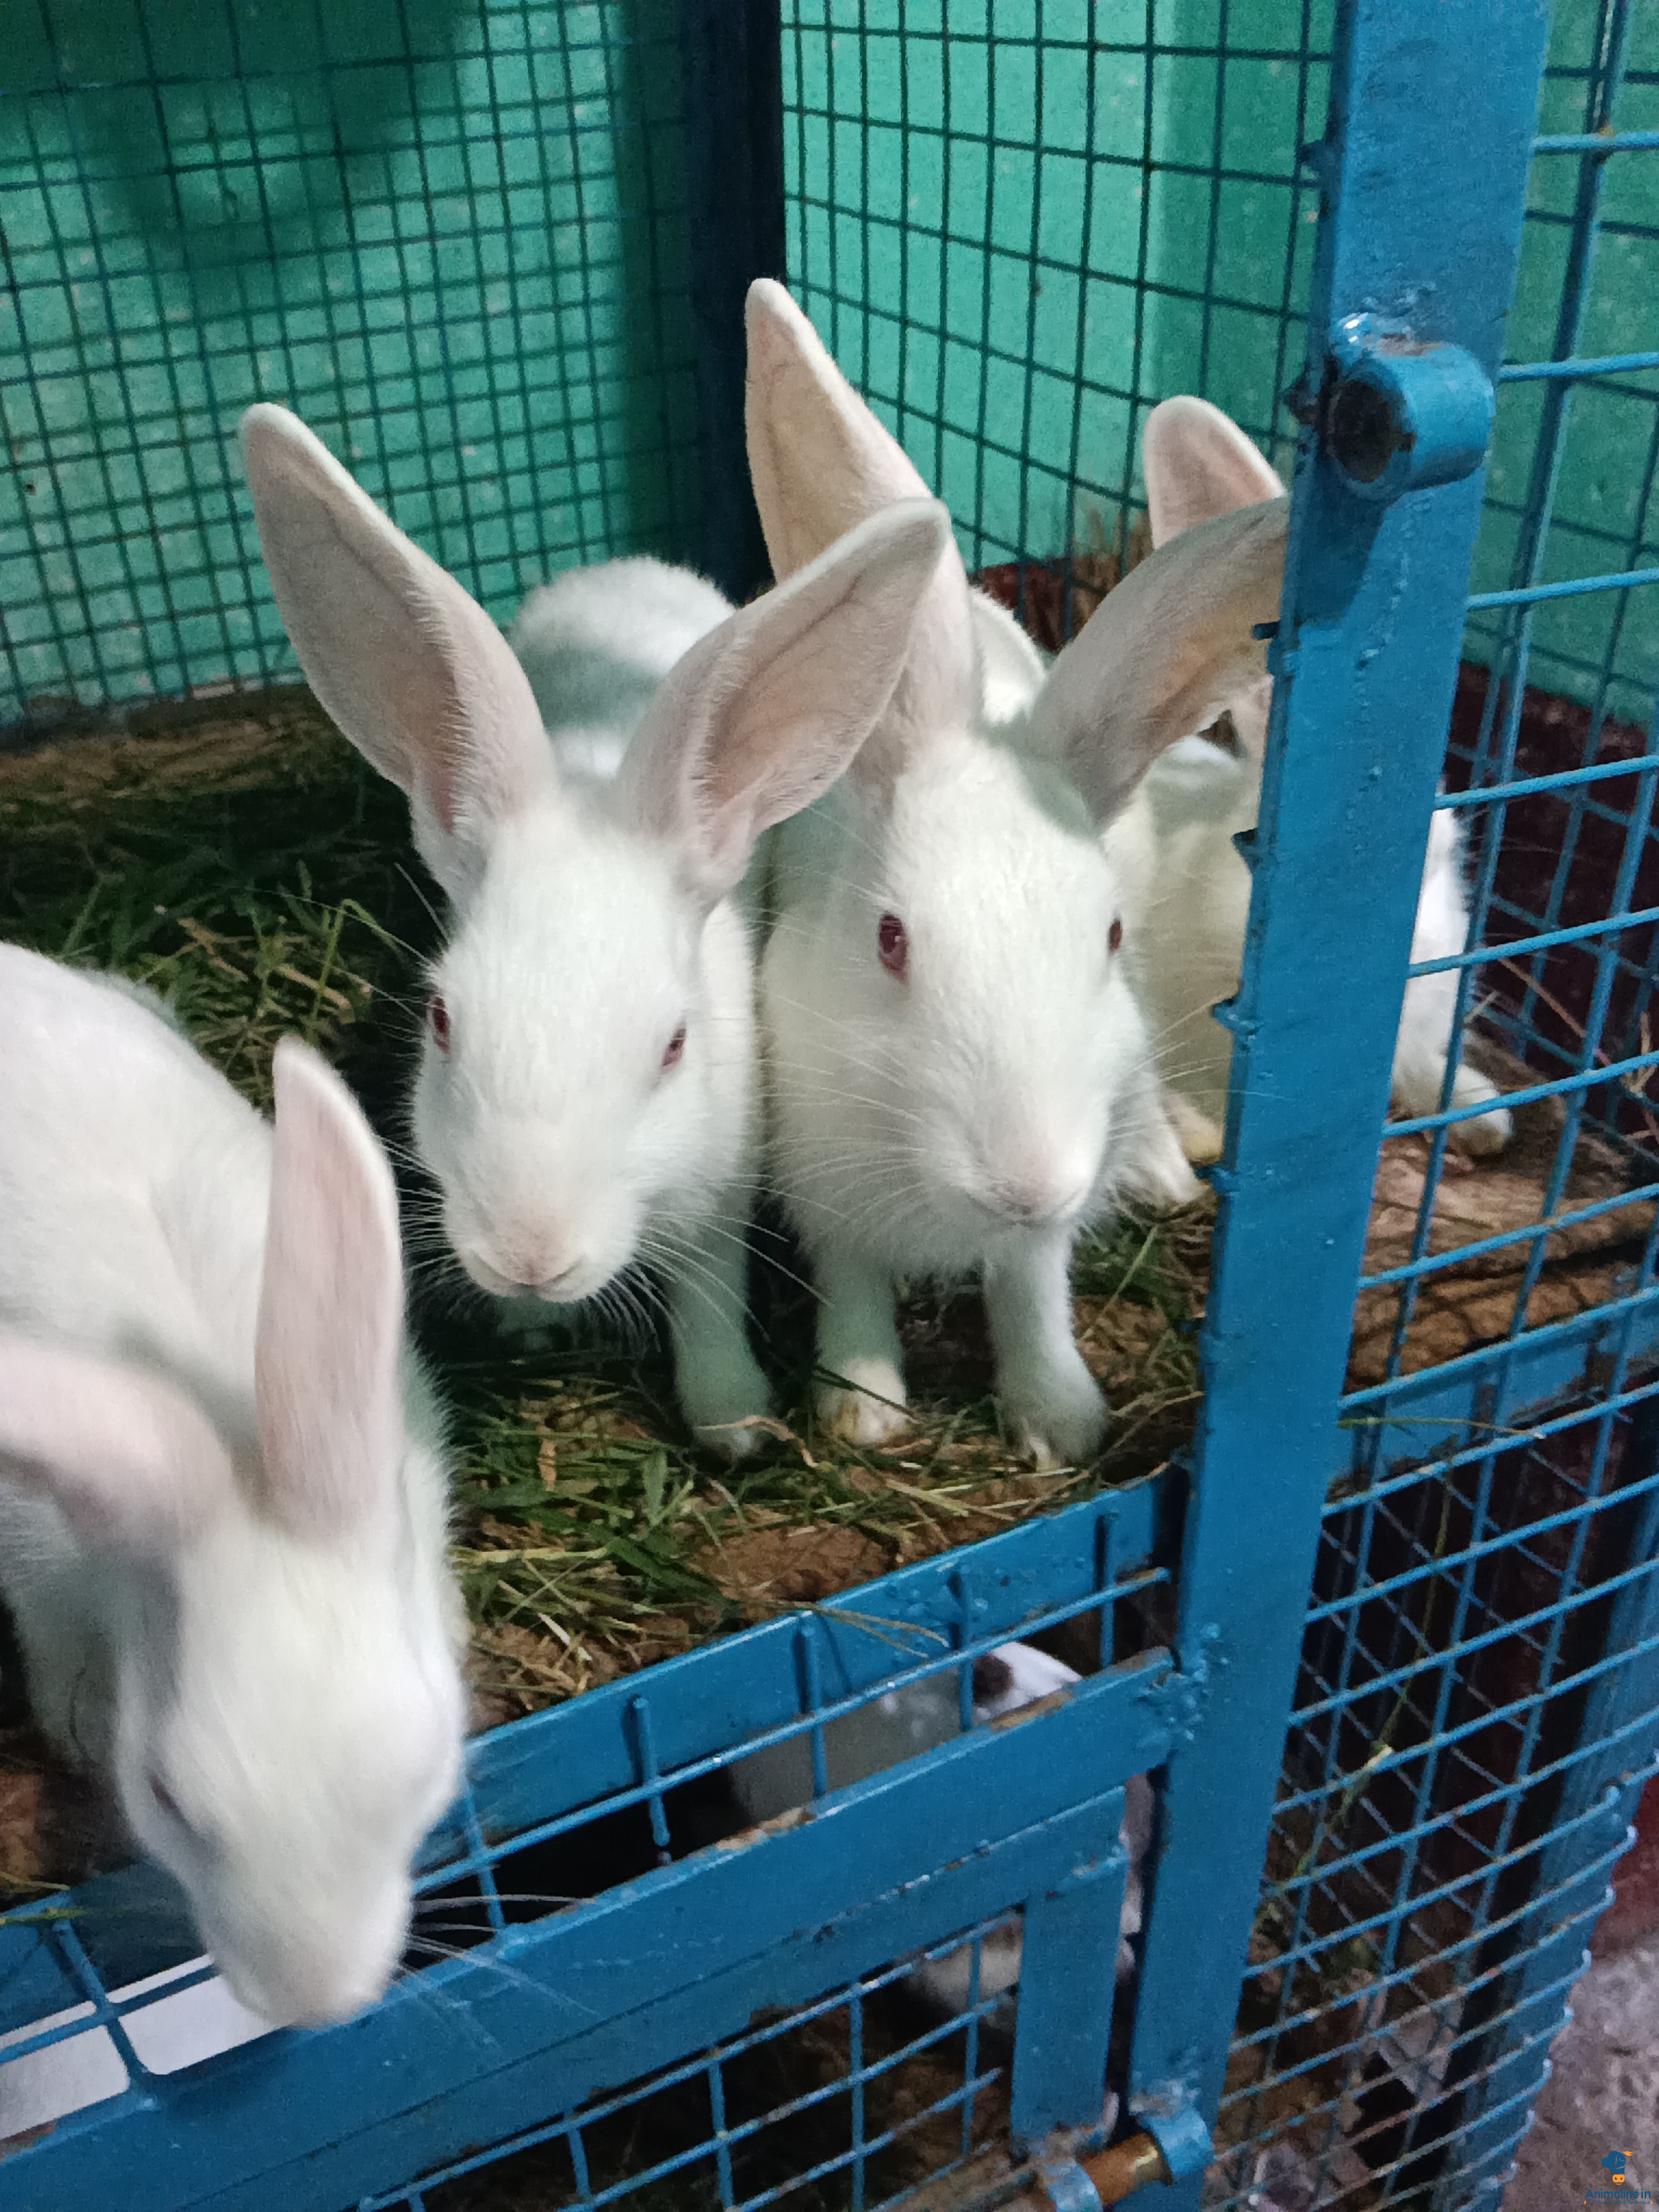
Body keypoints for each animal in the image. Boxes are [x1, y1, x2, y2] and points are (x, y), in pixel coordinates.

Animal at [240, 403, 952, 1459]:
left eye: (674, 1047)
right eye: (441, 1023)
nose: (528, 1254)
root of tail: (621, 564)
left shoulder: (719, 1188)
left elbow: (708, 1293)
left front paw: (734, 1419)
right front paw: (527, 1324)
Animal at [744, 279, 1286, 1462]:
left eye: (1110, 936)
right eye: (890, 940)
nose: (1028, 1181)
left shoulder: (1041, 1235)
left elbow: (1032, 1297)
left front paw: (1063, 1424)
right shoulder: (825, 1183)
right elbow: (854, 1292)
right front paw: (863, 1412)